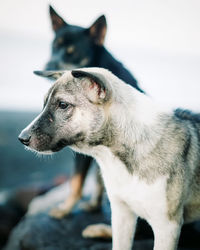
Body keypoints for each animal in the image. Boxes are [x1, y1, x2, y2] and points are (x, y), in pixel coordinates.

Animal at [35, 5, 144, 221]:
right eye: (54, 46)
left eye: (72, 52)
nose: (47, 67)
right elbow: (96, 180)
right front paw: (92, 205)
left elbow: (76, 182)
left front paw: (65, 209)